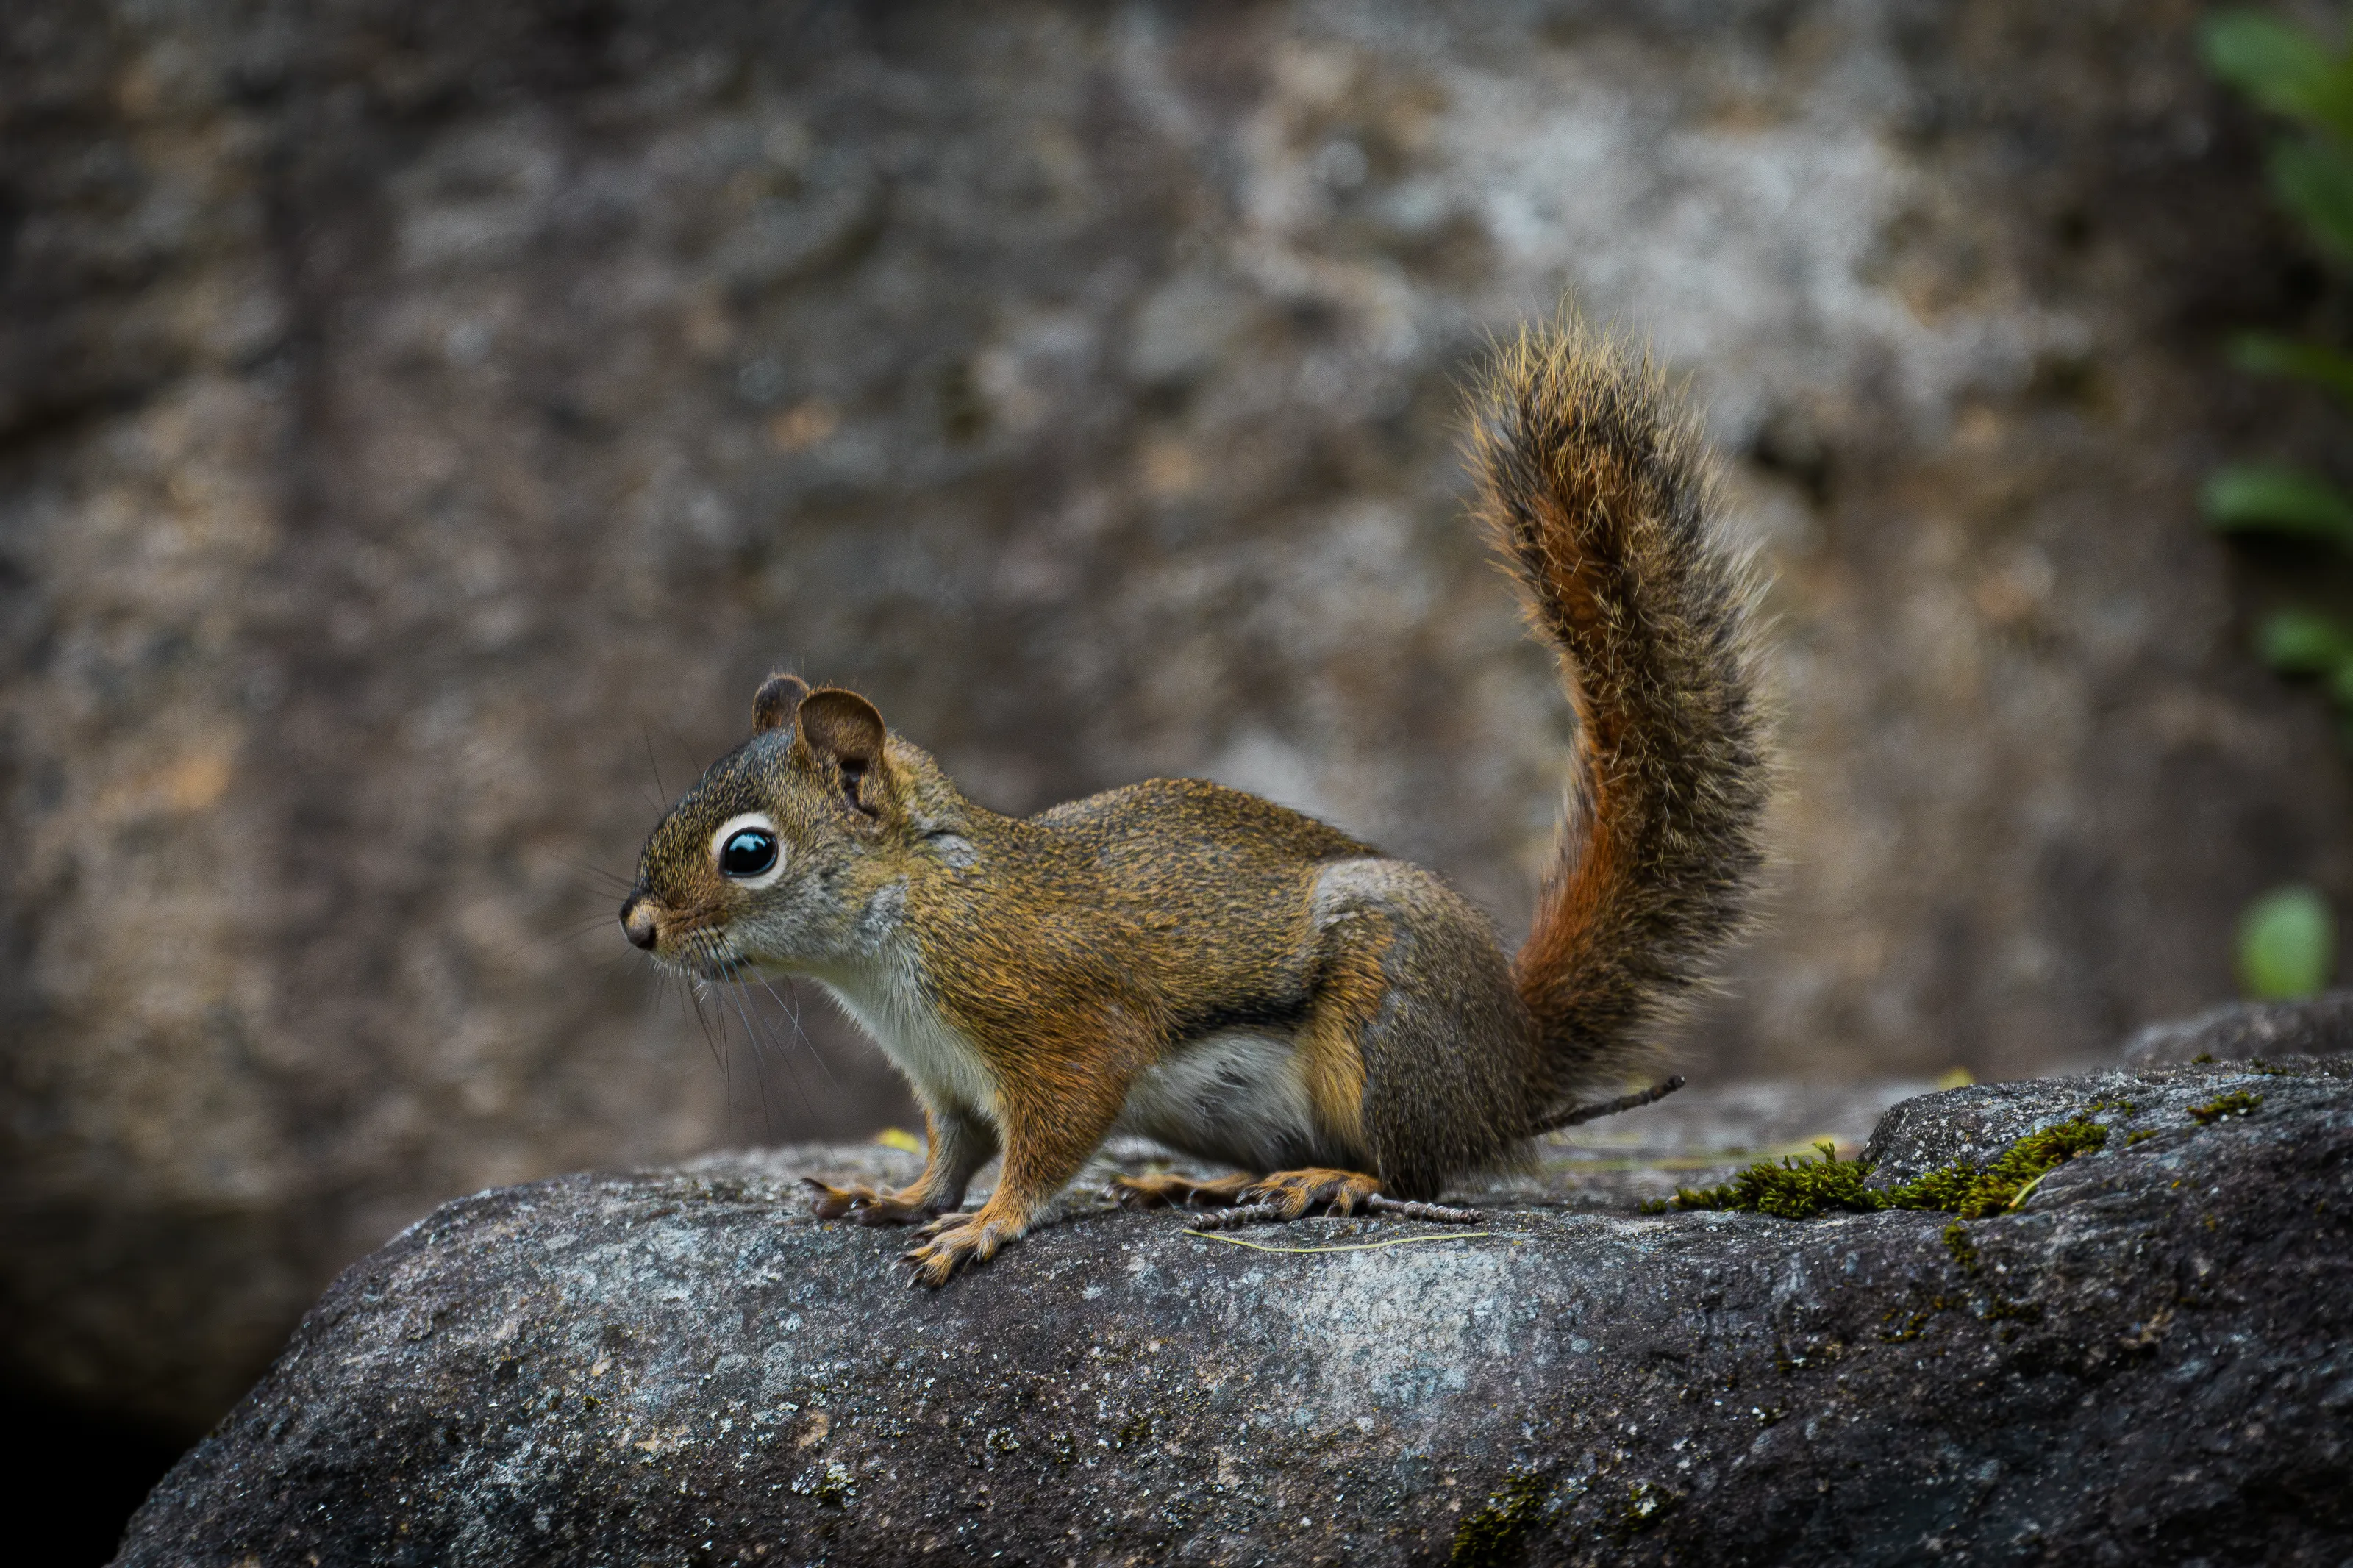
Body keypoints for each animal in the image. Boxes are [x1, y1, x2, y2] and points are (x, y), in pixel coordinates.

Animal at [619, 319, 1770, 1286]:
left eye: (749, 852)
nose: (636, 928)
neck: (906, 915)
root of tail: (1512, 1061)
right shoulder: (943, 1080)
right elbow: (952, 1151)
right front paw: (897, 1198)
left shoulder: (1057, 1024)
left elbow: (1045, 1141)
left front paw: (988, 1225)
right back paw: (1196, 1180)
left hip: (1389, 1027)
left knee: (1421, 1168)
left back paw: (1331, 1181)